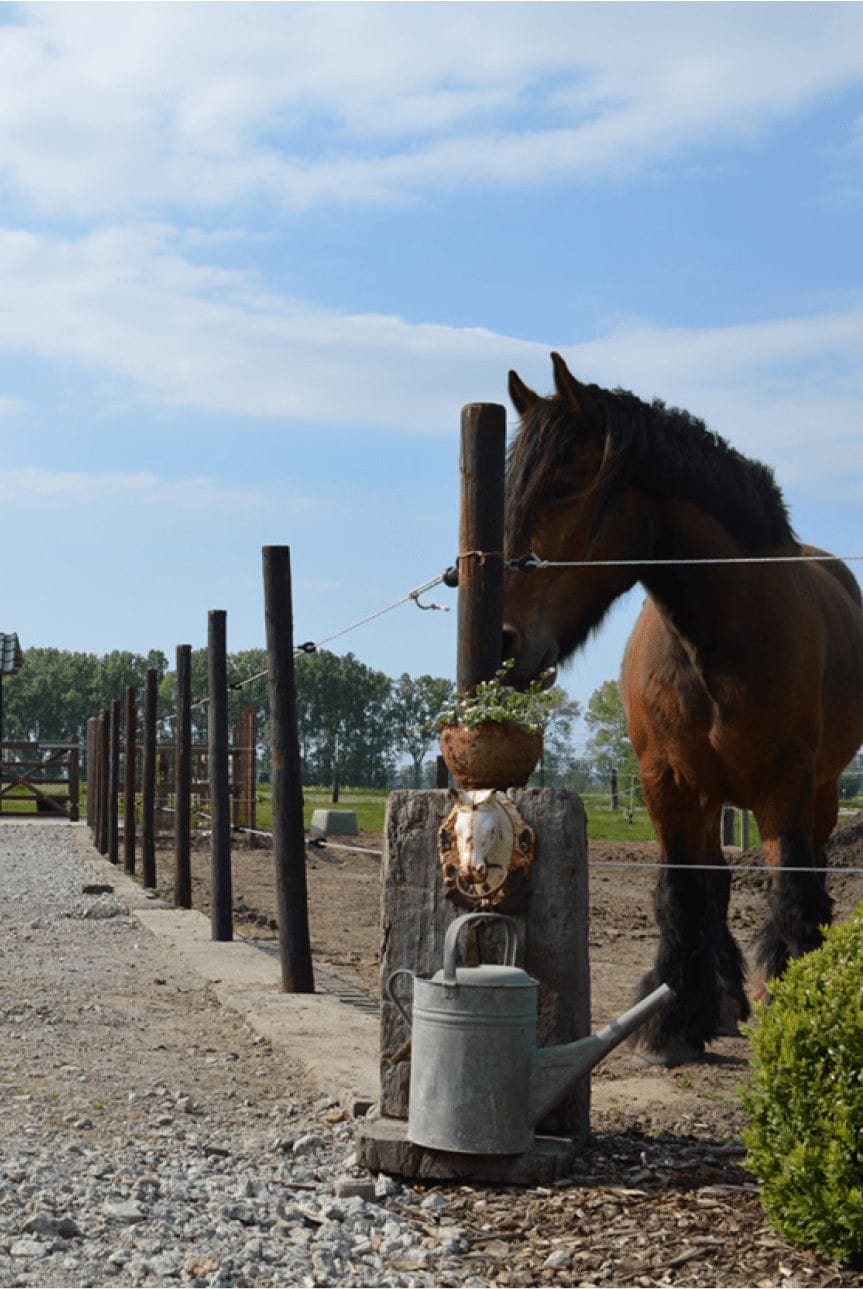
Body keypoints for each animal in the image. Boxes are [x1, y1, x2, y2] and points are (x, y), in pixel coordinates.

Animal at [502, 352, 863, 1065]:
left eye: (559, 487)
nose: (502, 638)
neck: (715, 640)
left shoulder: (785, 785)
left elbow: (791, 893)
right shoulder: (666, 784)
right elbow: (682, 892)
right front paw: (675, 1021)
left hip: (819, 792)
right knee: (715, 884)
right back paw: (721, 1001)